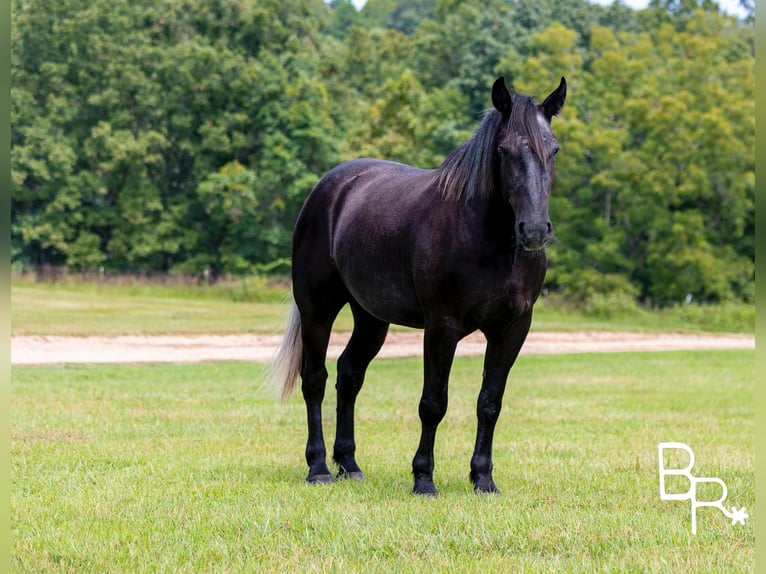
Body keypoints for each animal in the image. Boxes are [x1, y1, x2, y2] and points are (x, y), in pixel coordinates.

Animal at [270, 76, 566, 496]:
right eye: (504, 151)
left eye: (553, 150)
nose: (535, 230)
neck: (487, 239)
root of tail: (328, 189)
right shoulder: (442, 327)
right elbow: (433, 403)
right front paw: (424, 479)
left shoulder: (512, 329)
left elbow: (490, 402)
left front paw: (483, 478)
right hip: (317, 310)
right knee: (315, 380)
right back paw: (319, 468)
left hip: (371, 318)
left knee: (349, 374)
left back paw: (349, 464)